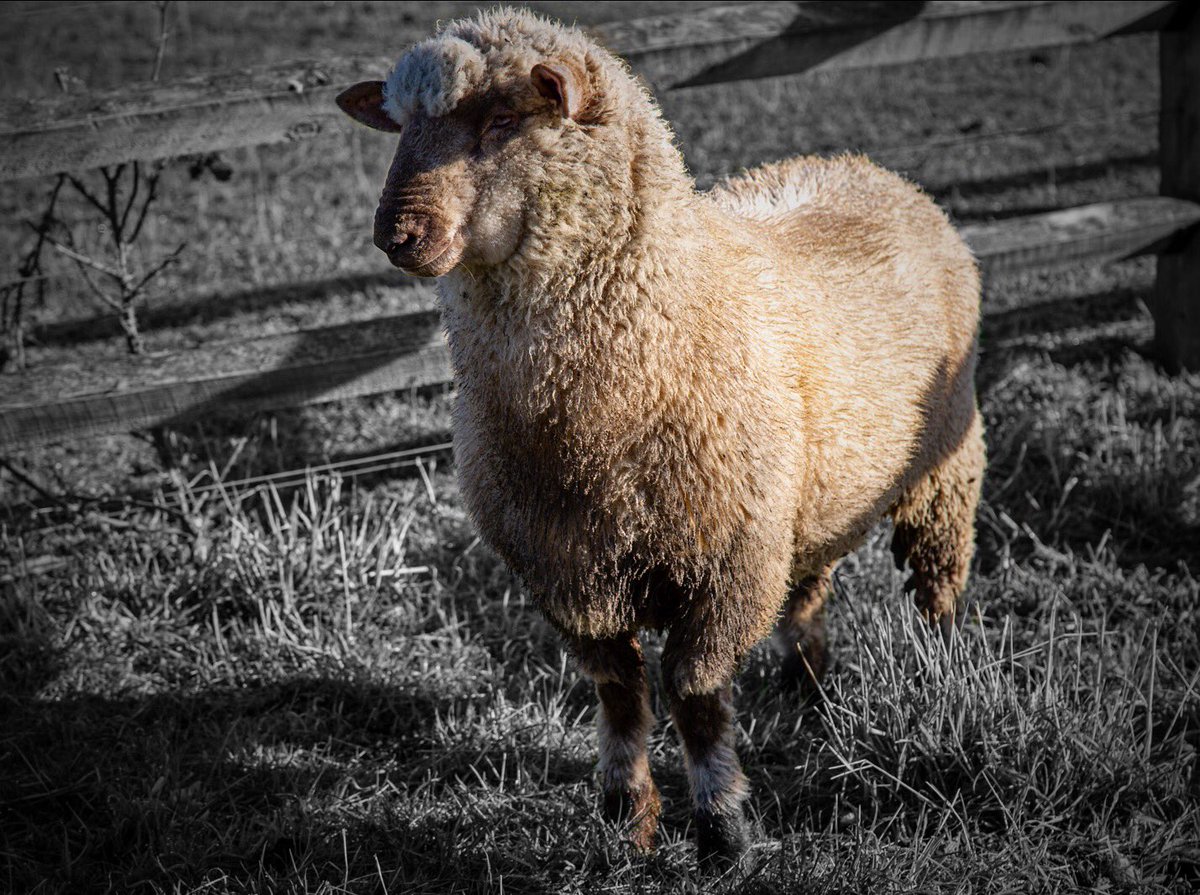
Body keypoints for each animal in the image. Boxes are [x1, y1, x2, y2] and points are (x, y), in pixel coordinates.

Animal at [337, 7, 985, 864]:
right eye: (400, 124)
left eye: (504, 120)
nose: (396, 234)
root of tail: (868, 169)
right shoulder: (567, 573)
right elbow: (619, 693)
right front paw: (625, 813)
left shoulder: (725, 565)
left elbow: (694, 695)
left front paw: (723, 826)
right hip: (806, 500)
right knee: (807, 591)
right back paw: (807, 686)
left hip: (942, 467)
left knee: (938, 585)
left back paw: (942, 672)